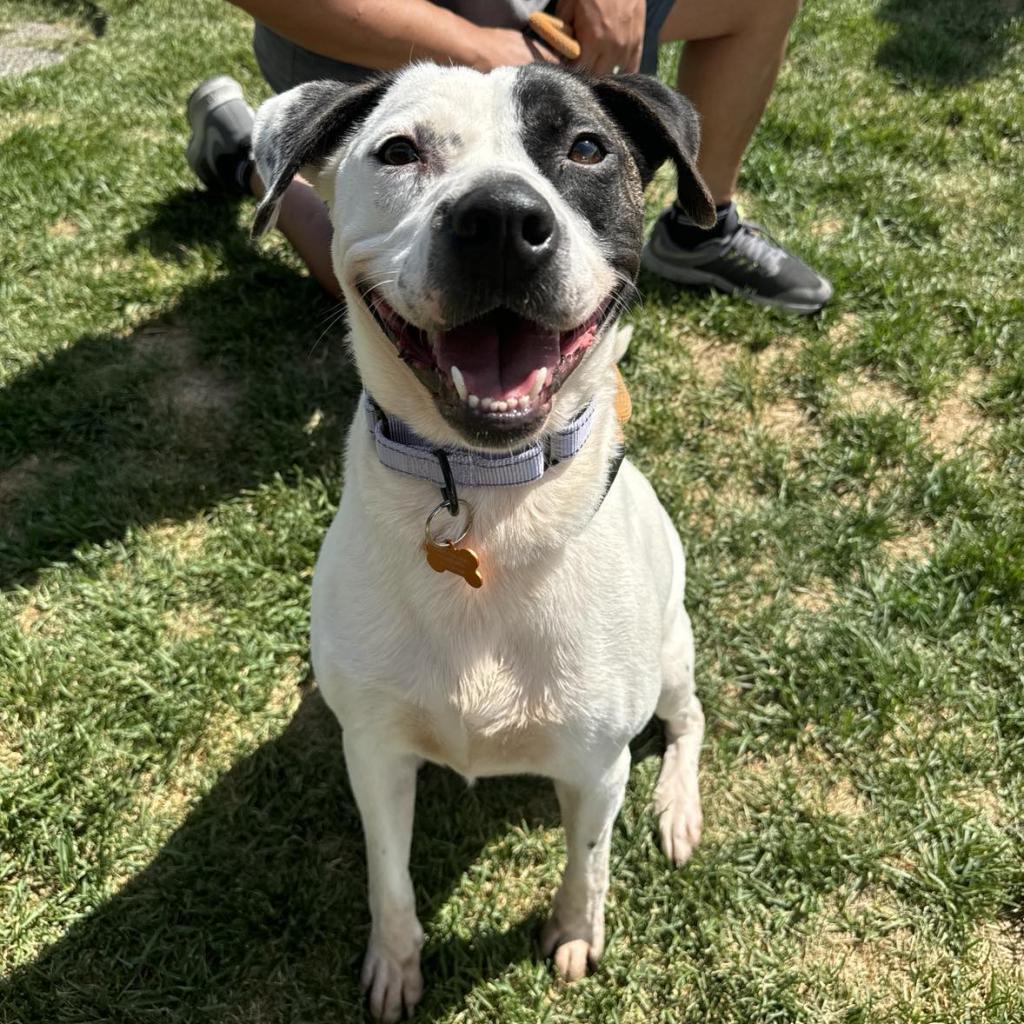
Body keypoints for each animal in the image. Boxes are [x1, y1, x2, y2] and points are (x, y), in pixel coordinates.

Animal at [249, 64, 712, 1024]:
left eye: (586, 147)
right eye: (398, 151)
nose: (498, 220)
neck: (488, 499)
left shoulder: (597, 766)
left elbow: (588, 864)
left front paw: (573, 933)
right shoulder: (375, 752)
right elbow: (389, 878)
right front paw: (395, 966)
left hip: (672, 654)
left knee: (690, 721)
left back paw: (679, 807)